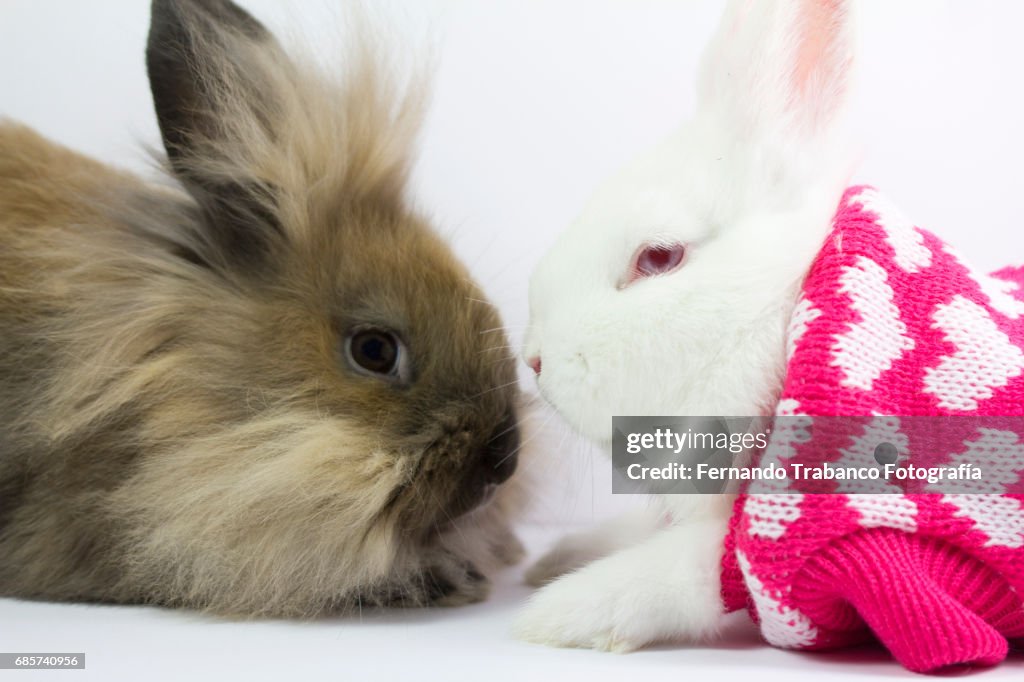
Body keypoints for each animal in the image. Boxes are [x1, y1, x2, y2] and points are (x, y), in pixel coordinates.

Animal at [514, 0, 860, 651]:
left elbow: (683, 569)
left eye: (658, 257)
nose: (534, 360)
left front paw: (557, 613)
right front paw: (556, 558)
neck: (776, 327)